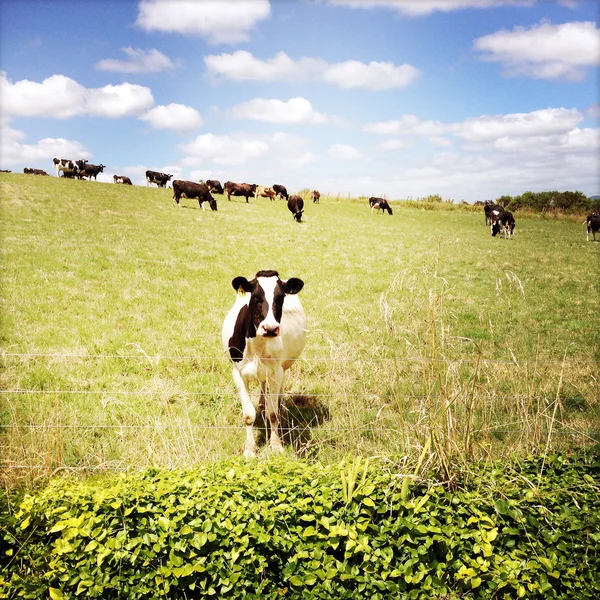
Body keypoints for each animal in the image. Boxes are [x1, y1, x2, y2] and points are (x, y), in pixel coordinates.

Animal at [220, 270, 308, 458]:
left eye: (280, 298)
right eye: (255, 297)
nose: (270, 328)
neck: (258, 346)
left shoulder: (276, 372)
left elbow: (272, 413)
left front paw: (276, 445)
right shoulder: (238, 373)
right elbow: (248, 415)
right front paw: (249, 449)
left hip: (283, 368)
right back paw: (261, 403)